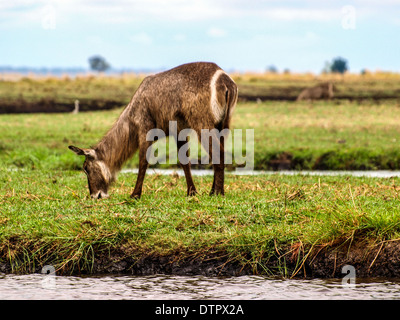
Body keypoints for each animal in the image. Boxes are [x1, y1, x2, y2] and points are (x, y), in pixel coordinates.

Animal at [69, 61, 238, 199]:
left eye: (86, 168)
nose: (95, 195)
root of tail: (224, 79)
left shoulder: (145, 128)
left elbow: (143, 160)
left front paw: (135, 194)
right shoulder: (178, 131)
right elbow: (184, 161)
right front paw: (192, 192)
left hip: (202, 124)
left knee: (218, 153)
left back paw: (218, 193)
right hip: (223, 124)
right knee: (220, 152)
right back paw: (212, 191)